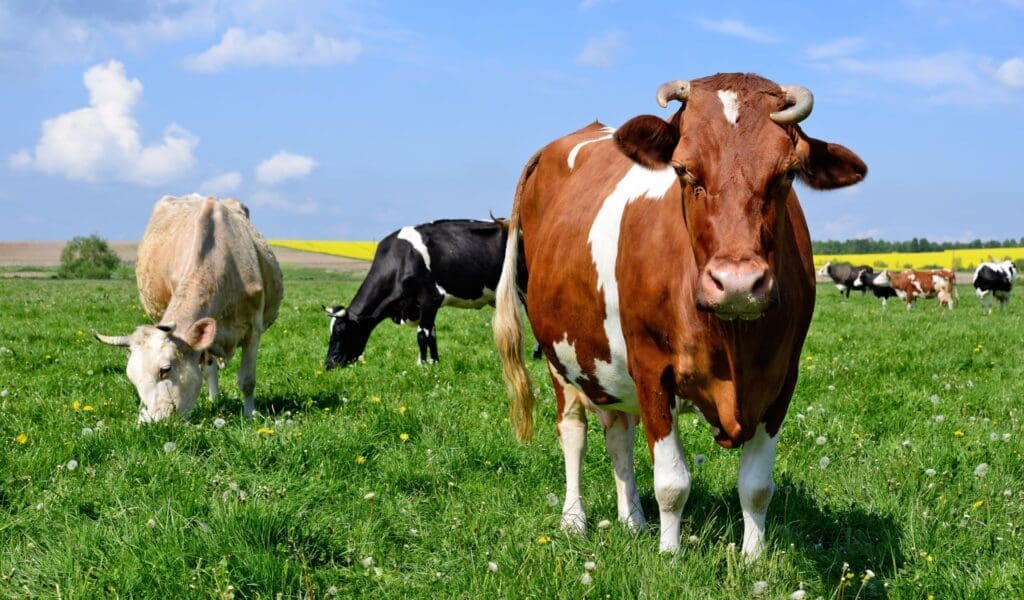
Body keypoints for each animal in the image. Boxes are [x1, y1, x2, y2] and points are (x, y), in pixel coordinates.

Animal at [95, 194, 284, 419]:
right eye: (132, 378)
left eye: (165, 369)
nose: (150, 422)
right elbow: (208, 370)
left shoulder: (254, 329)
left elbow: (247, 380)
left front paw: (249, 416)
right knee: (209, 369)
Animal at [321, 218, 528, 366]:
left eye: (341, 331)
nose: (329, 364)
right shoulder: (423, 306)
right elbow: (432, 335)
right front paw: (435, 363)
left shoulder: (430, 298)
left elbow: (422, 335)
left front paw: (422, 365)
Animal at [491, 72, 868, 556]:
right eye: (685, 170)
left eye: (787, 173)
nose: (738, 283)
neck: (733, 347)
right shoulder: (653, 370)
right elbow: (672, 483)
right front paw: (669, 556)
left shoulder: (782, 379)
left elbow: (756, 486)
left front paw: (753, 557)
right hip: (560, 355)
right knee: (574, 431)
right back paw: (574, 520)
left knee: (619, 434)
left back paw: (633, 519)